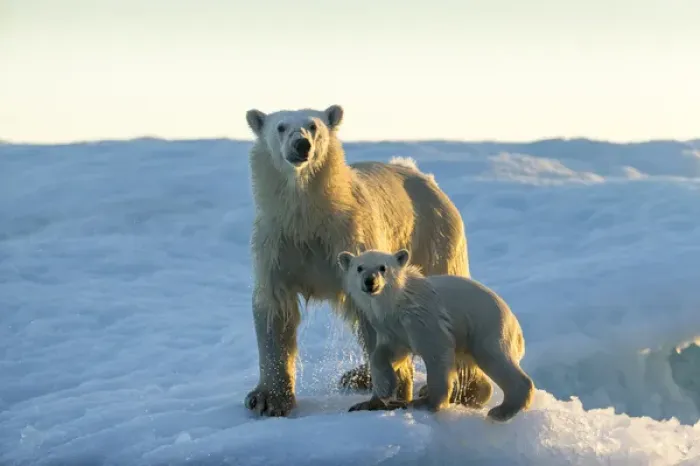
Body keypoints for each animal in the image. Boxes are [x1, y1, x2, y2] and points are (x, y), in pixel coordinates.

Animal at [243, 104, 492, 417]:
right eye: (281, 126)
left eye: (314, 126)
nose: (301, 145)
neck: (309, 216)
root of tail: (421, 175)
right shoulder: (277, 244)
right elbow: (275, 310)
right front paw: (267, 399)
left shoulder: (353, 238)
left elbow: (376, 310)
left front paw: (391, 393)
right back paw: (357, 376)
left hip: (434, 236)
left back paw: (466, 390)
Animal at [337, 248, 535, 422]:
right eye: (359, 268)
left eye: (382, 267)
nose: (369, 281)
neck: (397, 303)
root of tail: (516, 326)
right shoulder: (393, 328)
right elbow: (384, 354)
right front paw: (374, 398)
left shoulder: (423, 319)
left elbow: (437, 351)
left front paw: (426, 402)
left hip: (487, 326)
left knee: (494, 358)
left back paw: (501, 411)